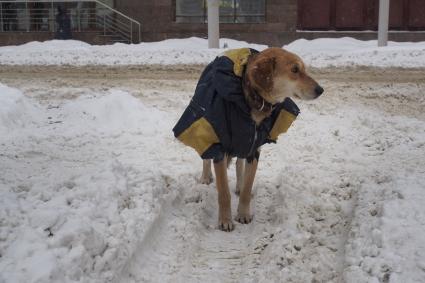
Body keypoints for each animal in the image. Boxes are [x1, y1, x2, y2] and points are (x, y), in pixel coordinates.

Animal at [171, 47, 322, 232]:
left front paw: (243, 213)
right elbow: (223, 192)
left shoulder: (254, 149)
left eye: (304, 69)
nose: (321, 90)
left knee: (239, 163)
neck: (253, 100)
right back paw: (206, 176)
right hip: (205, 127)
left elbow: (247, 187)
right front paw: (225, 220)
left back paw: (239, 183)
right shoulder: (219, 147)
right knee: (206, 155)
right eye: (294, 70)